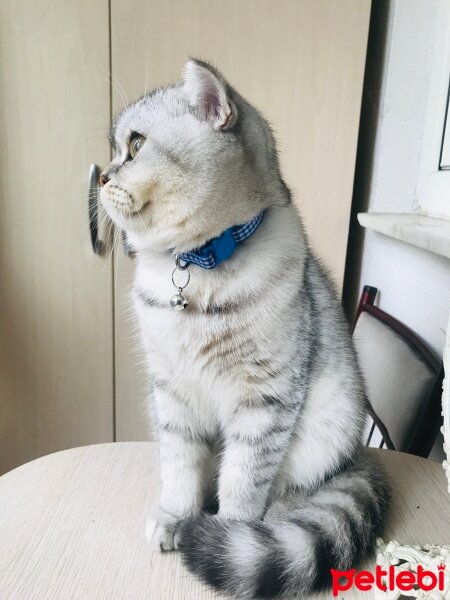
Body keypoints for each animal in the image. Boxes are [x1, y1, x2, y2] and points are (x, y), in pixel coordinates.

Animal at [100, 57, 388, 600]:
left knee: (292, 494)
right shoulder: (171, 393)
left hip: (321, 438)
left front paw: (223, 537)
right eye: (116, 149)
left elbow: (242, 481)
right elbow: (180, 466)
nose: (100, 172)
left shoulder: (263, 400)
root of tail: (359, 458)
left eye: (136, 145)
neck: (196, 263)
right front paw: (176, 517)